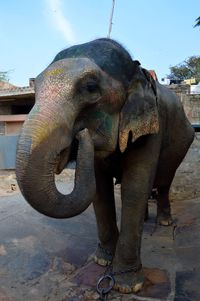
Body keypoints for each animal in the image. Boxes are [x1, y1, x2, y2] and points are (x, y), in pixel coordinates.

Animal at [15, 38, 194, 292]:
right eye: (36, 87)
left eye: (90, 87)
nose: (82, 136)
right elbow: (100, 190)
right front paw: (102, 262)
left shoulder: (151, 125)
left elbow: (135, 187)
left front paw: (127, 284)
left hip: (181, 144)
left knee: (164, 181)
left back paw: (164, 221)